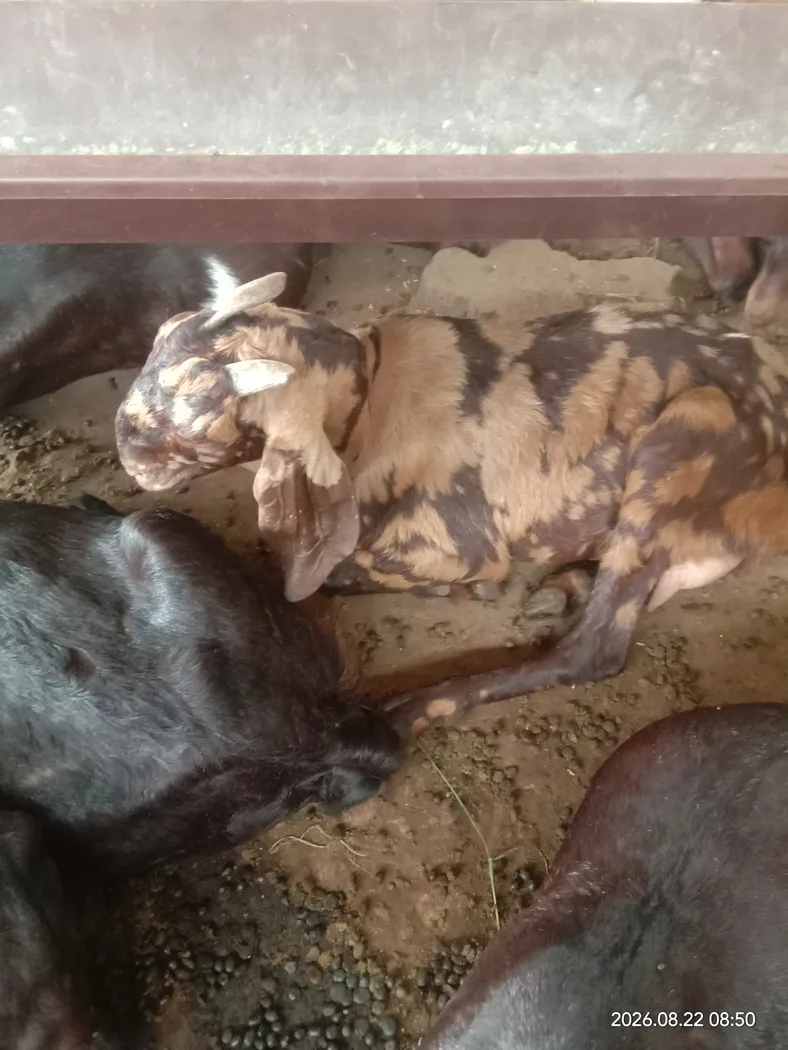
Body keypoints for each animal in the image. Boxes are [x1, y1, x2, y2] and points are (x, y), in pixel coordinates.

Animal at [116, 272, 788, 733]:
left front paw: (465, 593)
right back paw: (562, 587)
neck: (370, 395)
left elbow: (329, 573)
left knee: (596, 650)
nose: (124, 443)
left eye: (204, 404)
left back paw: (418, 705)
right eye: (162, 334)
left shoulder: (456, 544)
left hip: (681, 443)